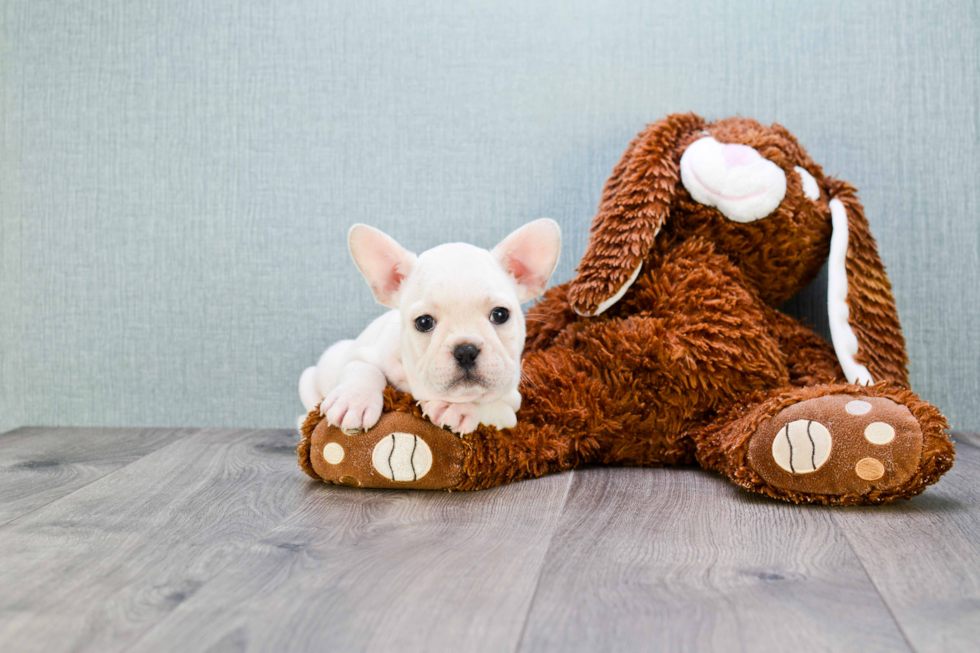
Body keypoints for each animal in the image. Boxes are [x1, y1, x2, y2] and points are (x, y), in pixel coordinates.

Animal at [296, 222, 560, 436]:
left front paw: (454, 407)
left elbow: (491, 406)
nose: (466, 350)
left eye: (500, 314)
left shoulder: (510, 408)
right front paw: (353, 401)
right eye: (424, 322)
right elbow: (363, 369)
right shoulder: (363, 353)